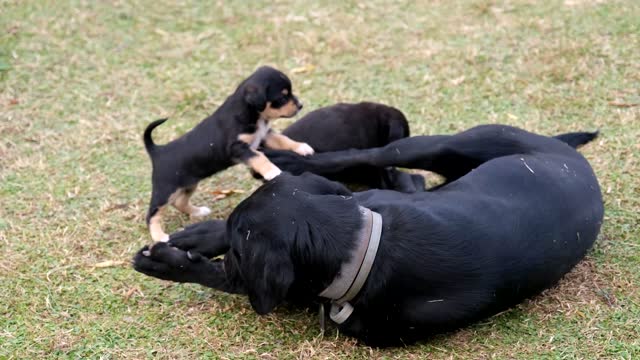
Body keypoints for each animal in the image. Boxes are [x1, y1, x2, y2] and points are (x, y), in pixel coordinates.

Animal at [132, 124, 604, 346]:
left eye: (241, 250)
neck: (363, 247)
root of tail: (570, 156)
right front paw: (196, 236)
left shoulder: (275, 287)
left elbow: (221, 276)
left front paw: (167, 261)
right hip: (440, 147)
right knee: (367, 157)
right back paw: (289, 159)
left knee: (385, 165)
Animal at [143, 66, 312, 243]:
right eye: (283, 96)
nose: (300, 105)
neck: (251, 113)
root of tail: (157, 151)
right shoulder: (237, 147)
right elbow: (260, 157)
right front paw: (272, 171)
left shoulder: (265, 135)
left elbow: (283, 139)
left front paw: (301, 147)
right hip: (165, 191)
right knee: (152, 214)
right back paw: (160, 236)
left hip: (189, 184)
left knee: (179, 202)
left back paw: (198, 212)